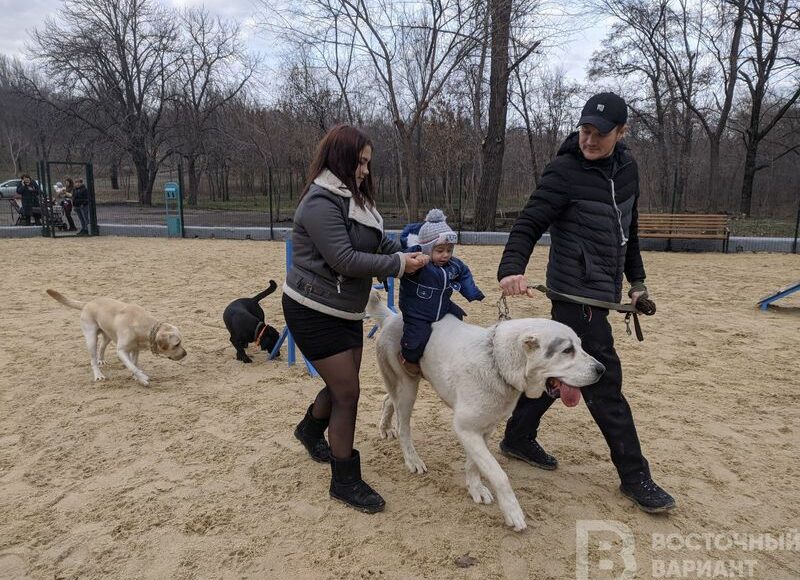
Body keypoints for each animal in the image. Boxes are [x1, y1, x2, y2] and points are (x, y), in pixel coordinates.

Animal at [47, 288, 186, 388]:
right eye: (177, 344)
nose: (185, 353)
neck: (143, 326)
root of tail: (88, 303)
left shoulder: (136, 349)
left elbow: (134, 364)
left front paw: (137, 377)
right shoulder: (121, 350)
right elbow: (132, 366)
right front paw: (142, 379)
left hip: (107, 336)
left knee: (102, 348)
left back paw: (101, 360)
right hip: (91, 338)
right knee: (93, 359)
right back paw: (98, 375)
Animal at [366, 292, 604, 532]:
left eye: (580, 346)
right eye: (567, 350)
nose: (601, 369)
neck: (496, 361)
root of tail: (391, 318)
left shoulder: (484, 428)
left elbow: (475, 464)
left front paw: (475, 488)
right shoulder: (465, 428)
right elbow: (498, 474)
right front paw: (513, 512)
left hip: (404, 387)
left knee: (388, 399)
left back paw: (385, 427)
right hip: (408, 388)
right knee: (403, 426)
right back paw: (412, 459)